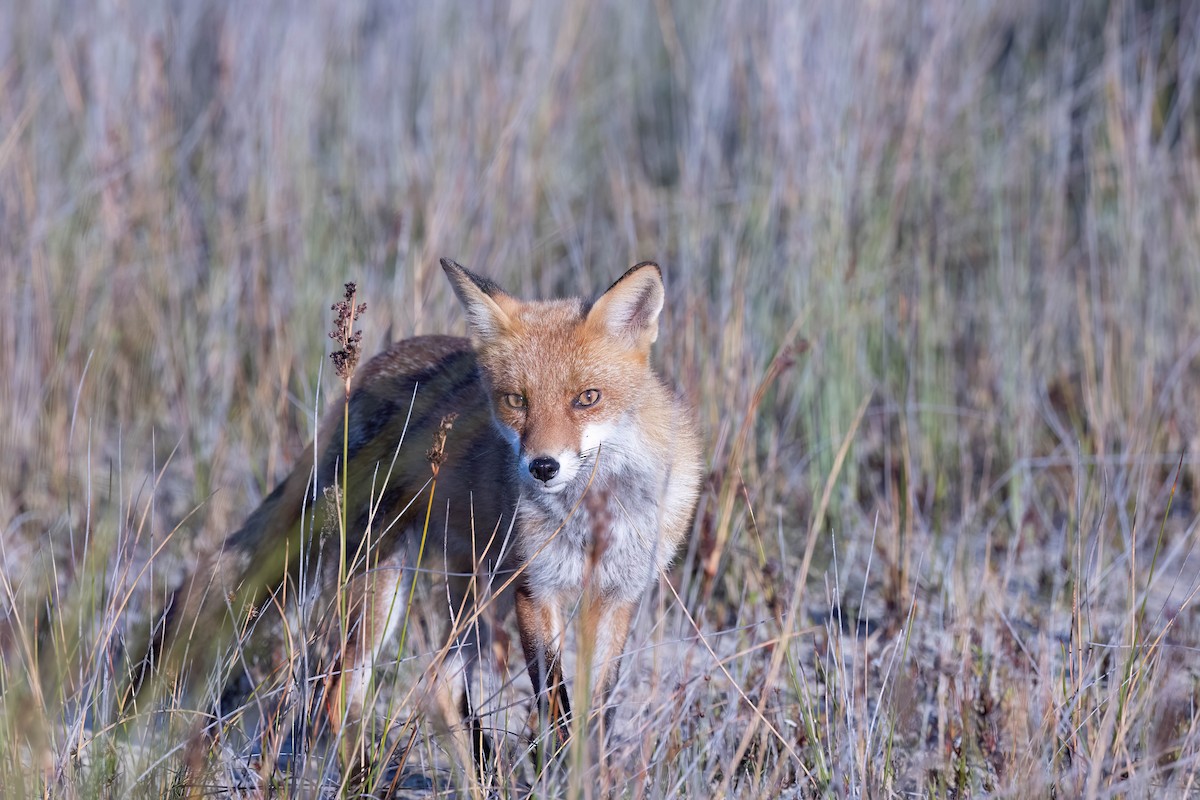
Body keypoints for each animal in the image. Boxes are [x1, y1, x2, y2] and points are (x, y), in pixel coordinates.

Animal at [137, 260, 700, 777]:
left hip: (469, 595)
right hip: (382, 588)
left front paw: (592, 773)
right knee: (339, 696)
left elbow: (595, 711)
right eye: (516, 400)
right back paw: (361, 776)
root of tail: (371, 370)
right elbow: (556, 707)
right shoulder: (534, 589)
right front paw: (565, 773)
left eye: (587, 398)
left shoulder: (617, 595)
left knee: (439, 687)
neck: (591, 518)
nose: (543, 467)